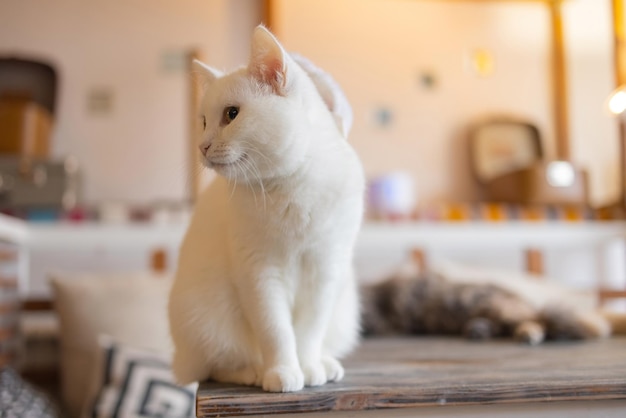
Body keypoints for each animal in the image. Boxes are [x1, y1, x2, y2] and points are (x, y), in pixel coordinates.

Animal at [168, 26, 364, 392]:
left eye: (231, 114)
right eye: (203, 121)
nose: (202, 146)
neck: (291, 186)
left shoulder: (324, 271)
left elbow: (308, 333)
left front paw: (309, 367)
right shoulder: (259, 275)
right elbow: (277, 332)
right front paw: (283, 372)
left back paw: (326, 364)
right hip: (207, 318)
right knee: (215, 366)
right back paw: (254, 372)